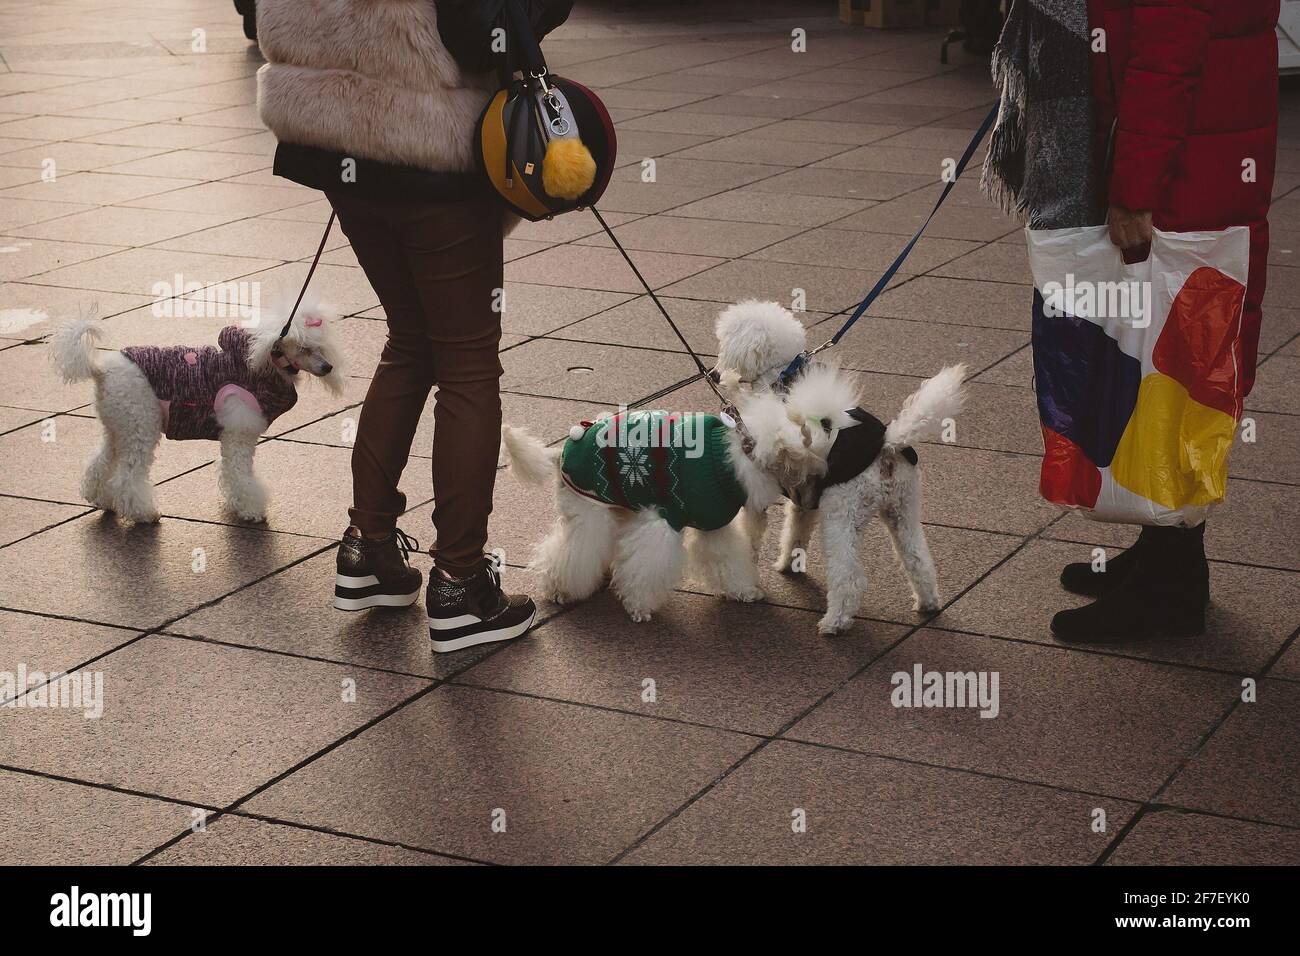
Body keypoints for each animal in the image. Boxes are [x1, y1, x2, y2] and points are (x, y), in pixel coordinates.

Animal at [51, 304, 345, 522]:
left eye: (321, 347)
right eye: (304, 348)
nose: (328, 367)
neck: (258, 365)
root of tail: (101, 370)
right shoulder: (238, 434)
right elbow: (239, 474)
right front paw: (250, 509)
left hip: (118, 425)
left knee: (99, 464)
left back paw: (103, 499)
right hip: (140, 426)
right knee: (127, 477)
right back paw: (143, 513)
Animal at [712, 299, 967, 634]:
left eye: (725, 343)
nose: (715, 374)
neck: (781, 375)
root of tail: (886, 445)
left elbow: (752, 535)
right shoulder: (805, 496)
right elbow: (796, 530)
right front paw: (787, 564)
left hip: (841, 511)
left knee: (848, 578)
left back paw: (834, 623)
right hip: (903, 509)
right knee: (918, 560)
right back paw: (927, 603)